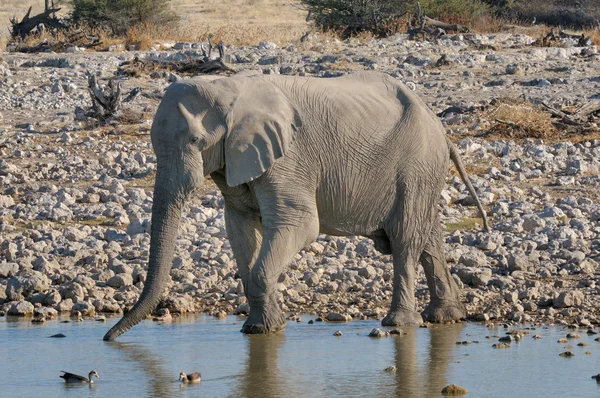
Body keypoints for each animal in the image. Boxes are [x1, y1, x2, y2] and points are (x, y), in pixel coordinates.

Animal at [102, 70, 488, 340]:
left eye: (197, 141)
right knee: (428, 239)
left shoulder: (289, 158)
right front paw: (263, 328)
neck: (229, 87)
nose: (107, 338)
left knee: (406, 239)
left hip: (416, 164)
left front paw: (264, 330)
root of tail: (440, 125)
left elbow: (301, 225)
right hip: (422, 170)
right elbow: (239, 228)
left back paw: (399, 323)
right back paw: (446, 317)